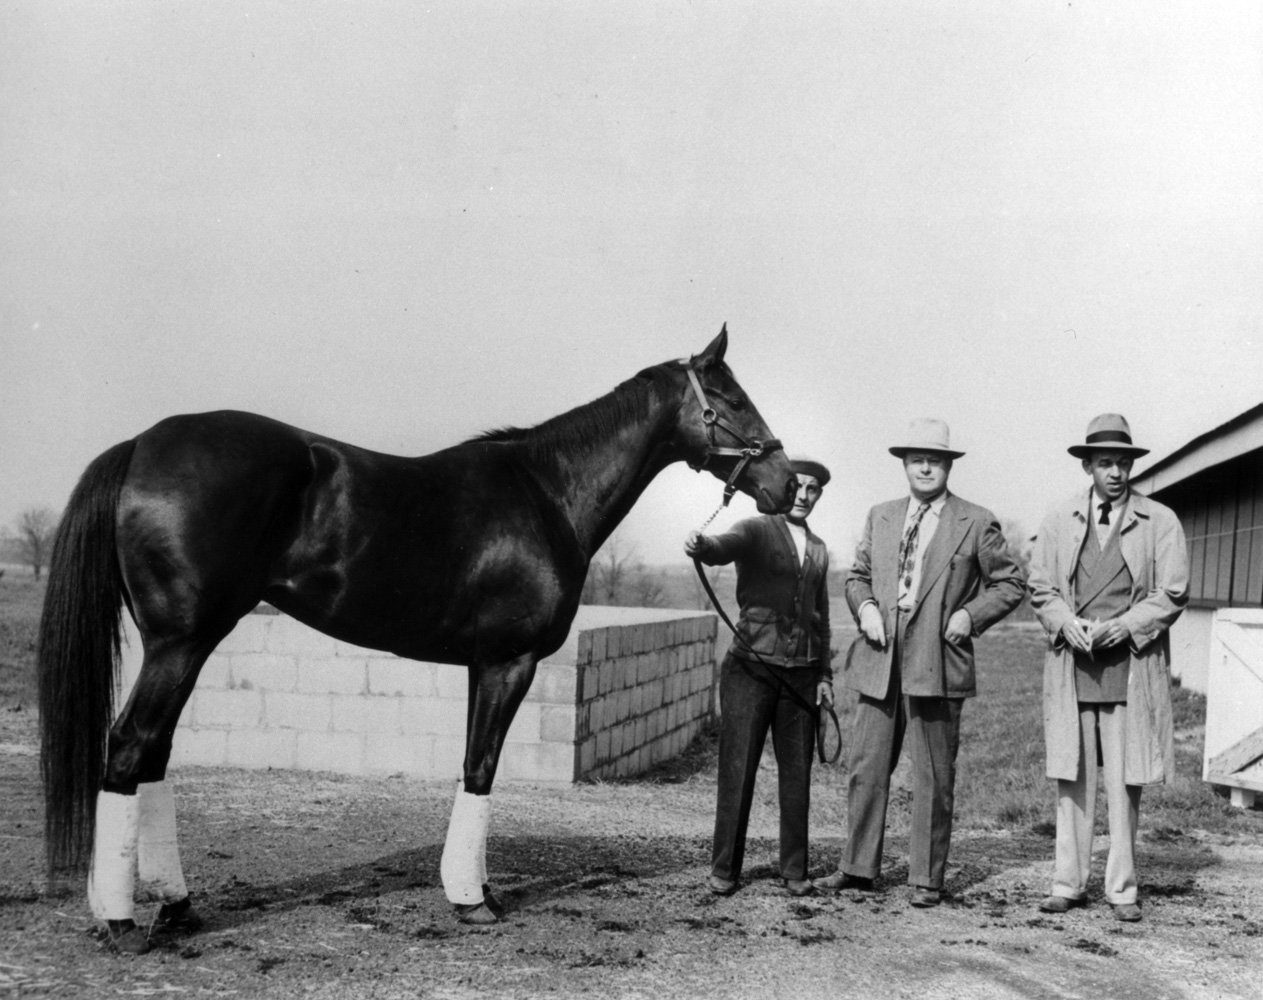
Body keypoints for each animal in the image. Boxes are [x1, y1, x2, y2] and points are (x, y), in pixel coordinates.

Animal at [36, 330, 788, 954]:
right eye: (730, 398)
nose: (789, 483)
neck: (547, 492)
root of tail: (142, 444)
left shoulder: (481, 664)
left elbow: (472, 765)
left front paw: (474, 889)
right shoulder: (507, 662)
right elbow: (480, 767)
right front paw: (472, 901)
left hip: (184, 643)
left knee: (152, 755)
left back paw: (173, 906)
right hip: (180, 642)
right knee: (129, 746)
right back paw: (121, 922)